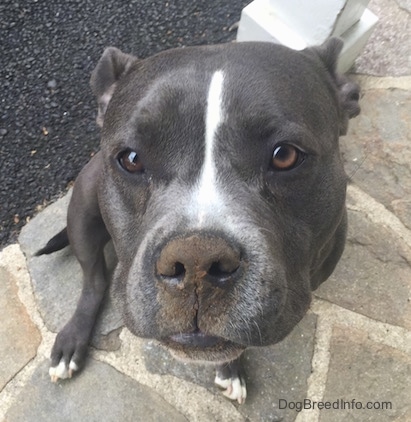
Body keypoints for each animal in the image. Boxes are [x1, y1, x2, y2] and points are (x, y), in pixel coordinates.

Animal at [37, 38, 360, 404]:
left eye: (285, 155)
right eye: (131, 159)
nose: (196, 261)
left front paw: (231, 368)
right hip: (82, 211)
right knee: (93, 282)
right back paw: (71, 342)